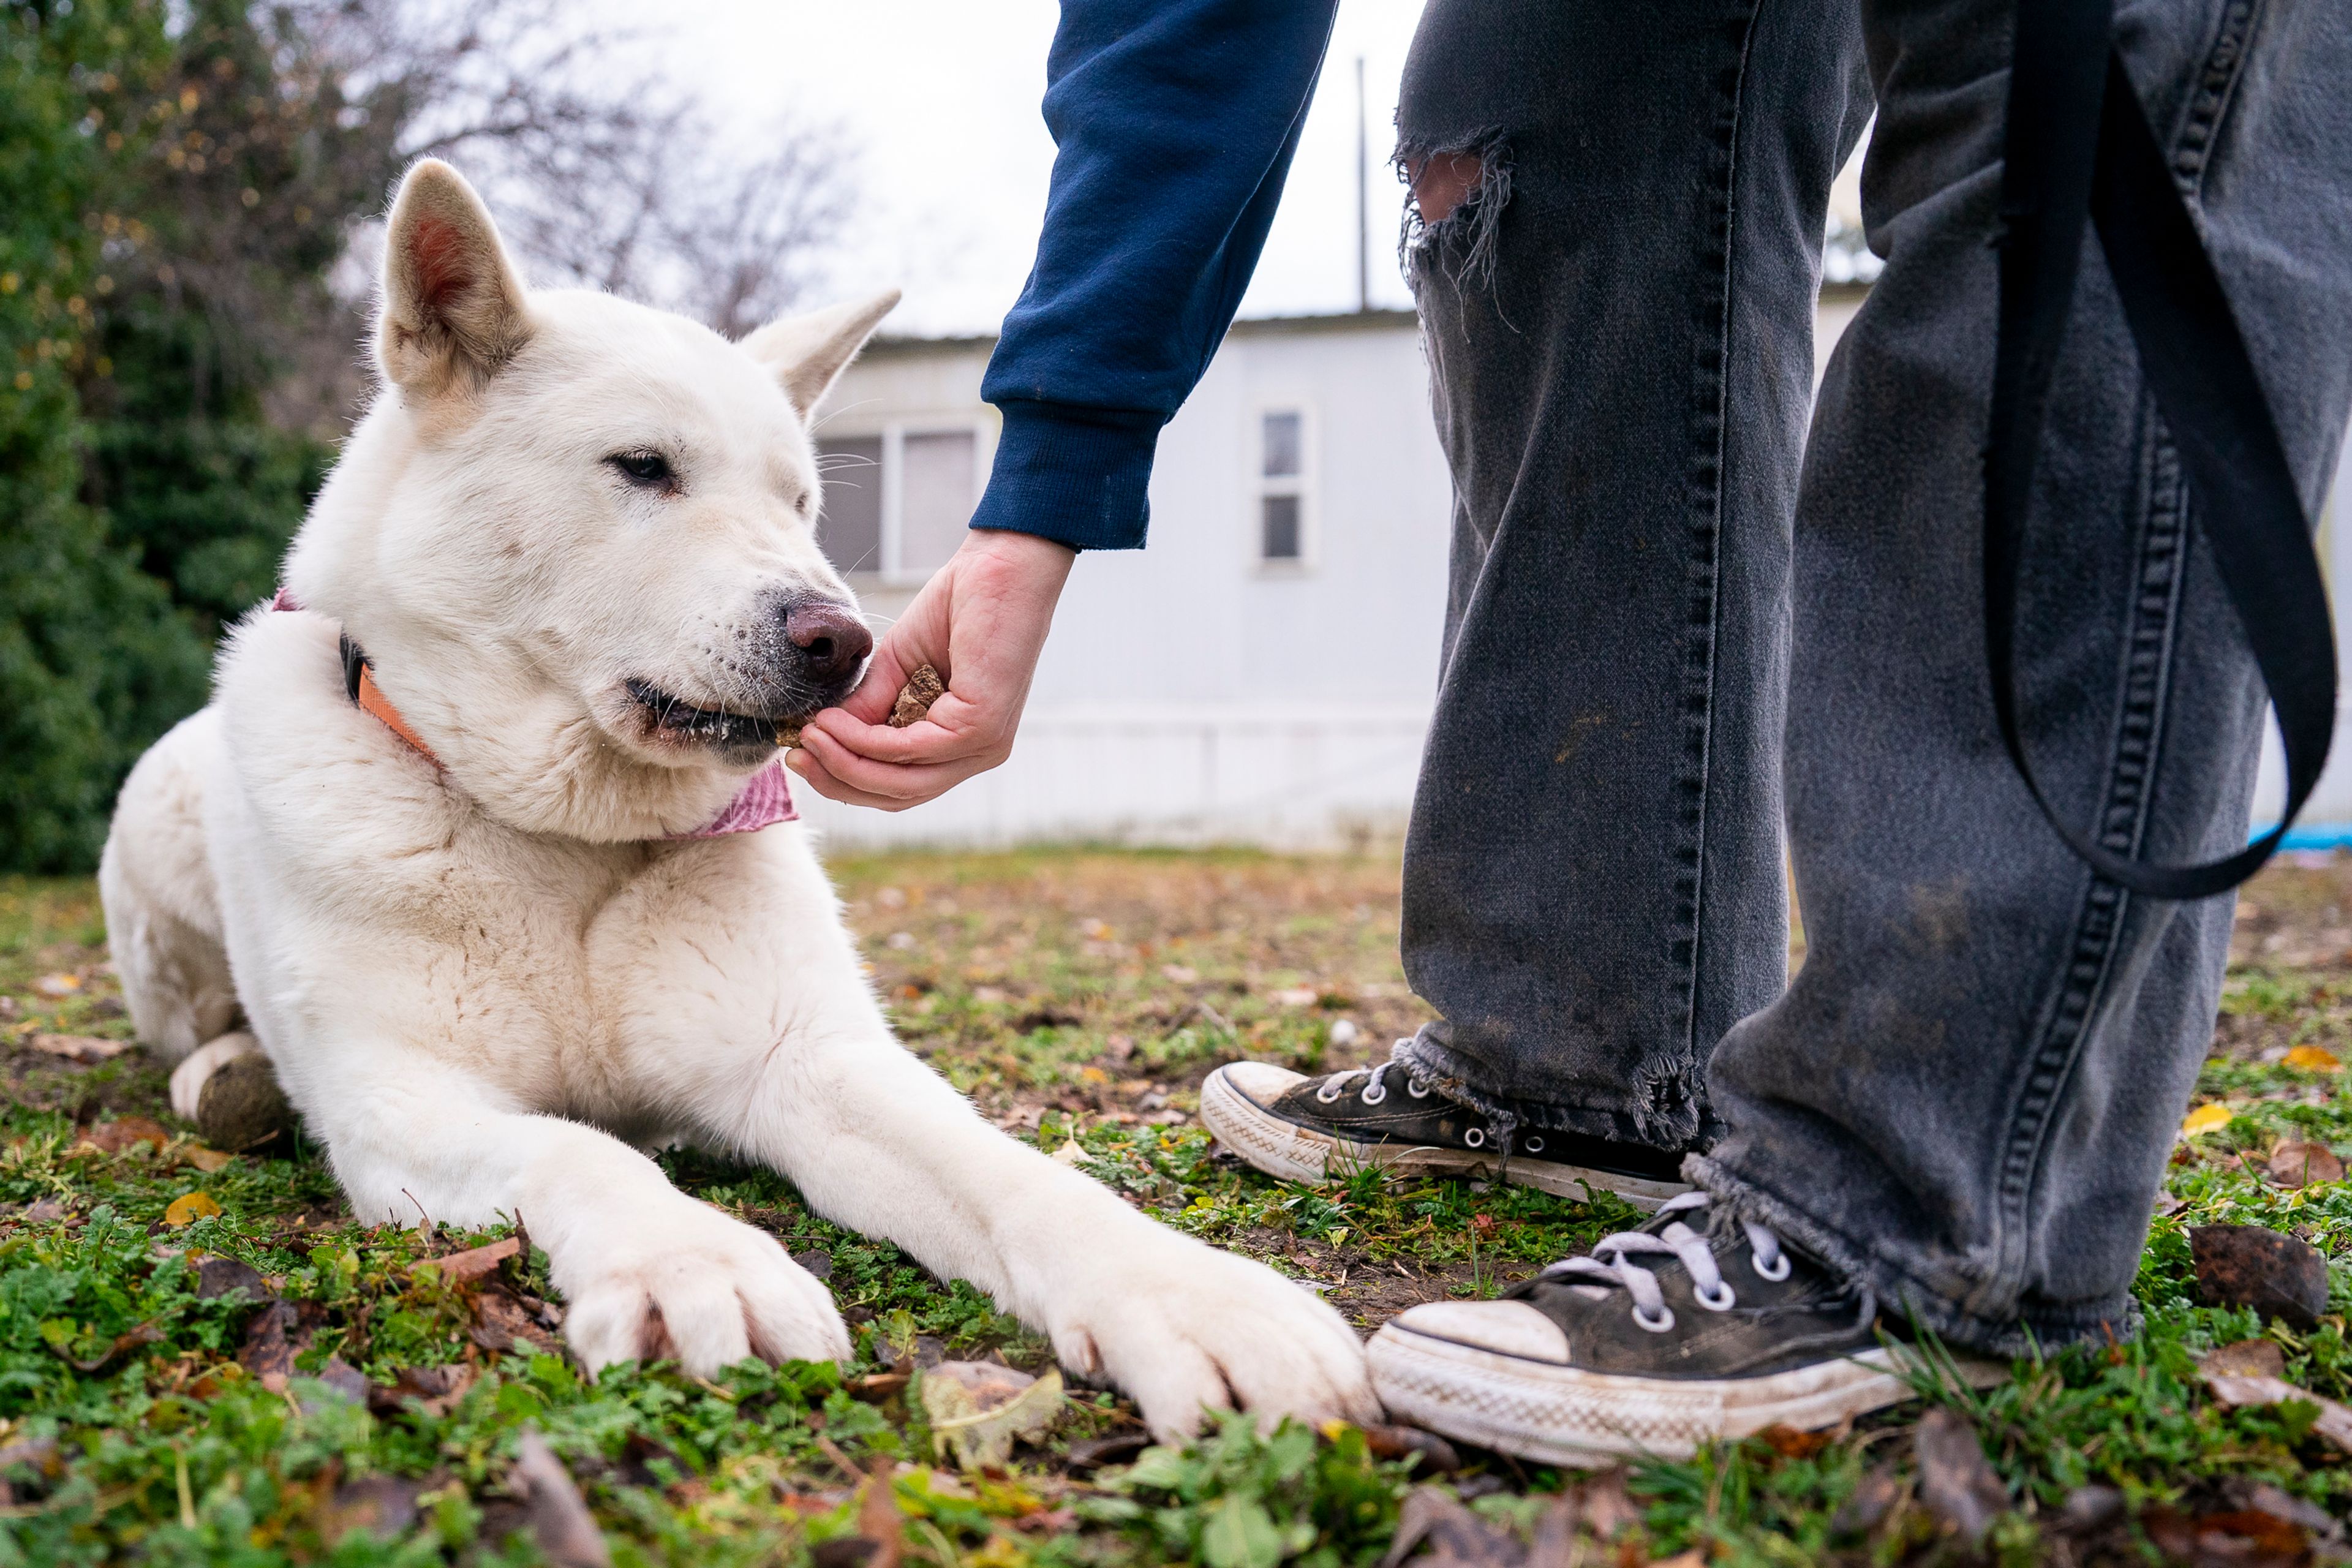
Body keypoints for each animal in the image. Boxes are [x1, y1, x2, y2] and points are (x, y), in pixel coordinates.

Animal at [101, 162, 1373, 1448]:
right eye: (642, 467)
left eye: (800, 502)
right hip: (156, 826)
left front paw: (1192, 1296)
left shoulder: (808, 1064)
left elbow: (1012, 1172)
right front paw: (695, 1262)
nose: (845, 646)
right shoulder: (404, 1103)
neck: (571, 843)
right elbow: (586, 1156)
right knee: (192, 1024)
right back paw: (227, 1072)